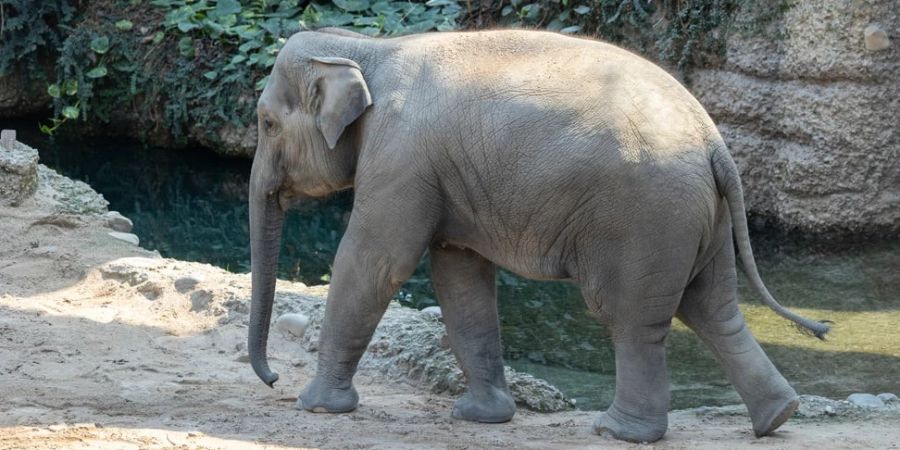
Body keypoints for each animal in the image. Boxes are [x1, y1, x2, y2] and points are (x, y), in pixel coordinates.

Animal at [246, 27, 828, 442]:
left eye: (267, 123)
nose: (272, 380)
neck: (366, 49)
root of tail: (713, 139)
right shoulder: (438, 173)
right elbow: (459, 274)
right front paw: (481, 417)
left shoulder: (401, 157)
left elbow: (375, 263)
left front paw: (316, 407)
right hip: (698, 218)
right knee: (713, 307)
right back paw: (778, 417)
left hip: (643, 219)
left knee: (631, 317)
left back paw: (619, 432)